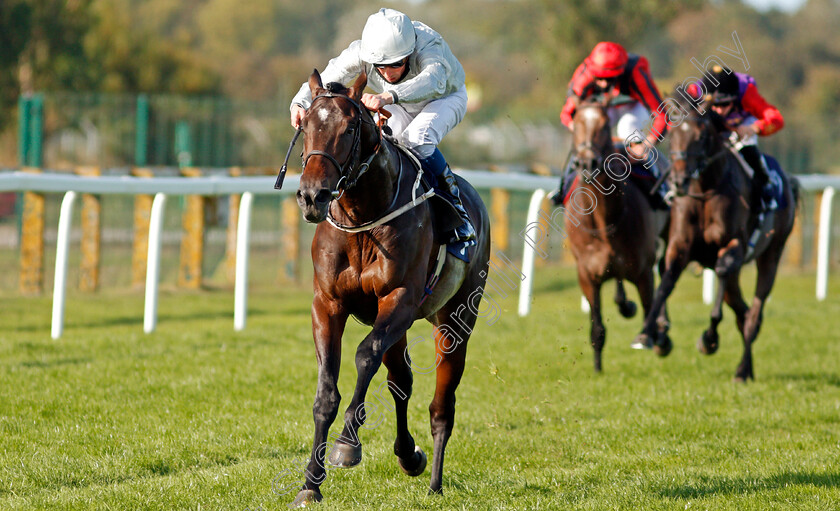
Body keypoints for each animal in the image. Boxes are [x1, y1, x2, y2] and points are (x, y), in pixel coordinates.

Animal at [288, 70, 488, 506]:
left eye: (349, 128)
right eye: (306, 125)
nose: (312, 196)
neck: (363, 218)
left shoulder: (399, 300)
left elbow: (365, 356)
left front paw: (347, 445)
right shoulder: (327, 304)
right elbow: (326, 393)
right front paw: (311, 483)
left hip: (456, 319)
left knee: (441, 406)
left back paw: (434, 482)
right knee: (401, 381)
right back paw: (408, 455)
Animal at [564, 100, 668, 372]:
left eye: (604, 125)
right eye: (576, 123)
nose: (587, 163)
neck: (604, 223)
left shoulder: (643, 271)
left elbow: (650, 307)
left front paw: (657, 339)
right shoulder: (586, 275)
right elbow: (597, 328)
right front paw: (597, 369)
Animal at [632, 89, 796, 384]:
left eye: (701, 137)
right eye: (672, 133)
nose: (679, 182)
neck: (705, 191)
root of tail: (788, 182)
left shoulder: (734, 246)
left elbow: (721, 272)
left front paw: (709, 338)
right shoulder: (679, 246)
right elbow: (666, 281)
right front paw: (646, 333)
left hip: (771, 255)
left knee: (753, 314)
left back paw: (742, 370)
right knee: (743, 312)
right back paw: (747, 368)